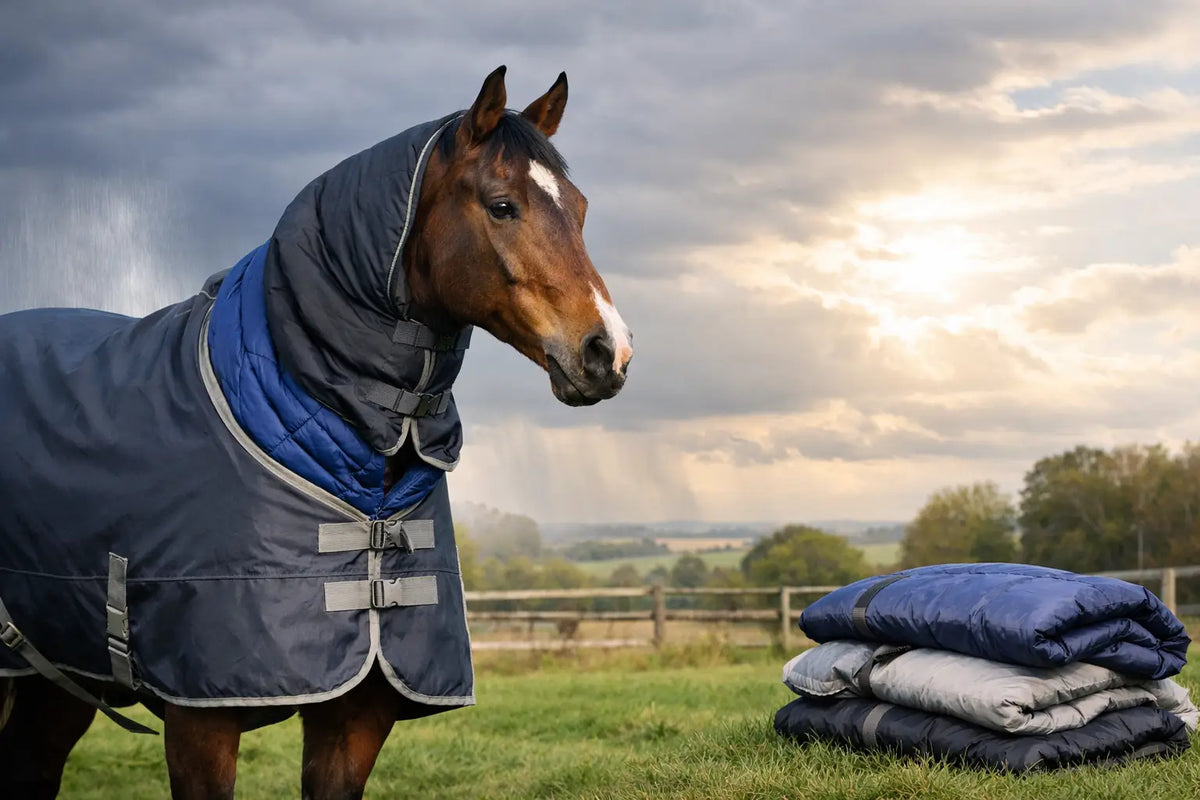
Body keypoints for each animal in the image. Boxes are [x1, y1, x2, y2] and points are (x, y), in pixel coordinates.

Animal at [0, 66, 632, 799]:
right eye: (503, 206)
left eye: (580, 209)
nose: (608, 352)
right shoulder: (199, 720)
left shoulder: (355, 718)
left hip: (54, 683)